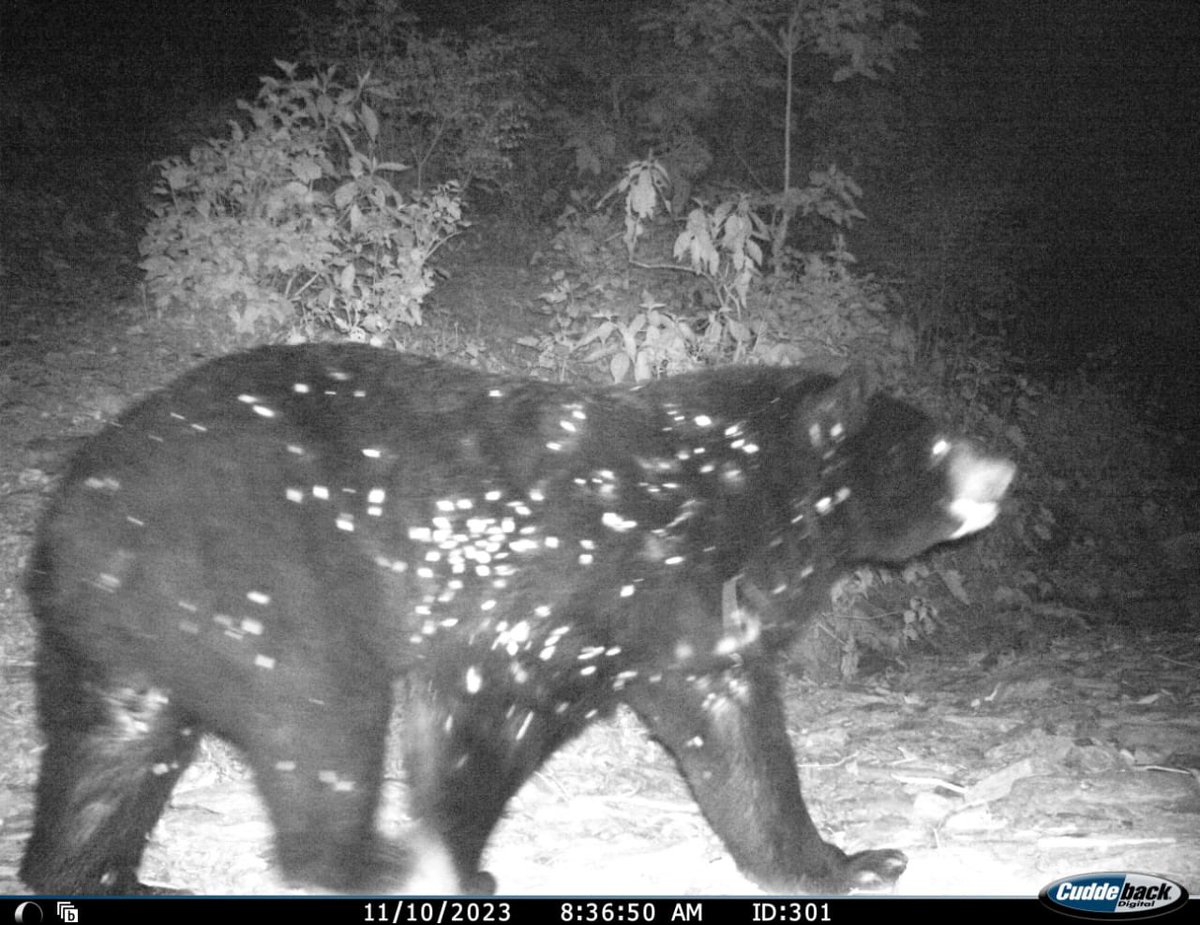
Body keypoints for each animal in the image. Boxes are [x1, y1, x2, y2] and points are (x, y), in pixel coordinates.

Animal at [18, 343, 1012, 892]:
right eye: (934, 443)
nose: (1006, 466)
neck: (724, 498)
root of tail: (76, 511)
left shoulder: (690, 624)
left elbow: (738, 749)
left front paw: (851, 860)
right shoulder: (568, 583)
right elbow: (484, 714)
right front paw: (451, 858)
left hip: (126, 635)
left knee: (109, 752)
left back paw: (97, 874)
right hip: (270, 581)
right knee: (321, 718)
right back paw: (364, 861)